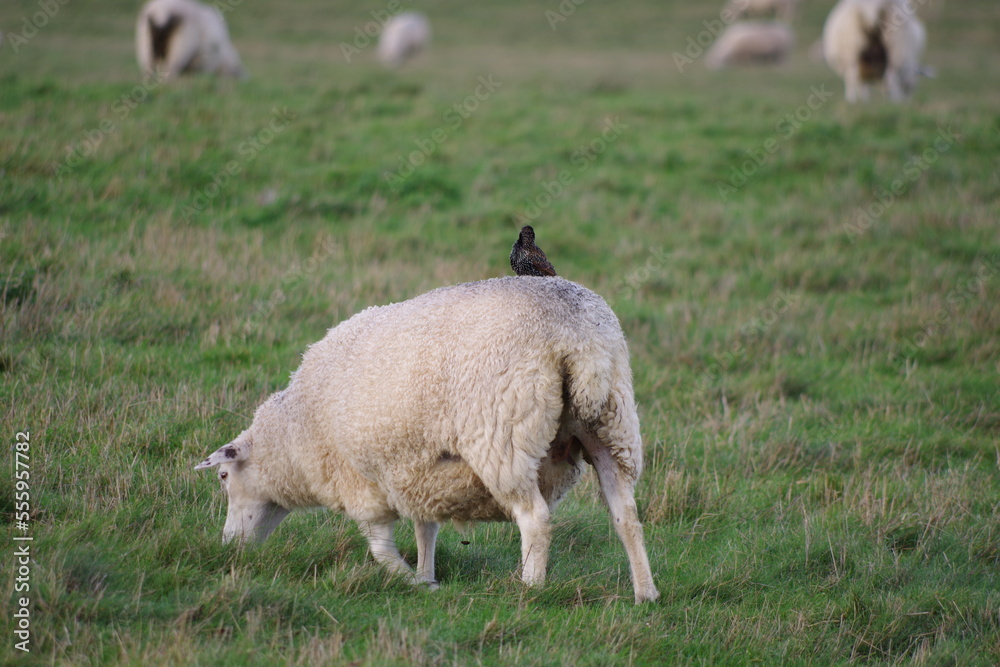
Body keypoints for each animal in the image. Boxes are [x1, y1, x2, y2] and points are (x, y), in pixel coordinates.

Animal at [195, 277, 660, 604]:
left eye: (223, 476)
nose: (229, 548)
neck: (295, 434)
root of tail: (580, 340)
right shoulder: (416, 473)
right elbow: (426, 530)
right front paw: (424, 574)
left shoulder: (361, 483)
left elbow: (381, 549)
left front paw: (413, 584)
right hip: (611, 424)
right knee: (626, 516)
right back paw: (645, 593)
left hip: (503, 435)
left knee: (535, 520)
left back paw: (530, 588)